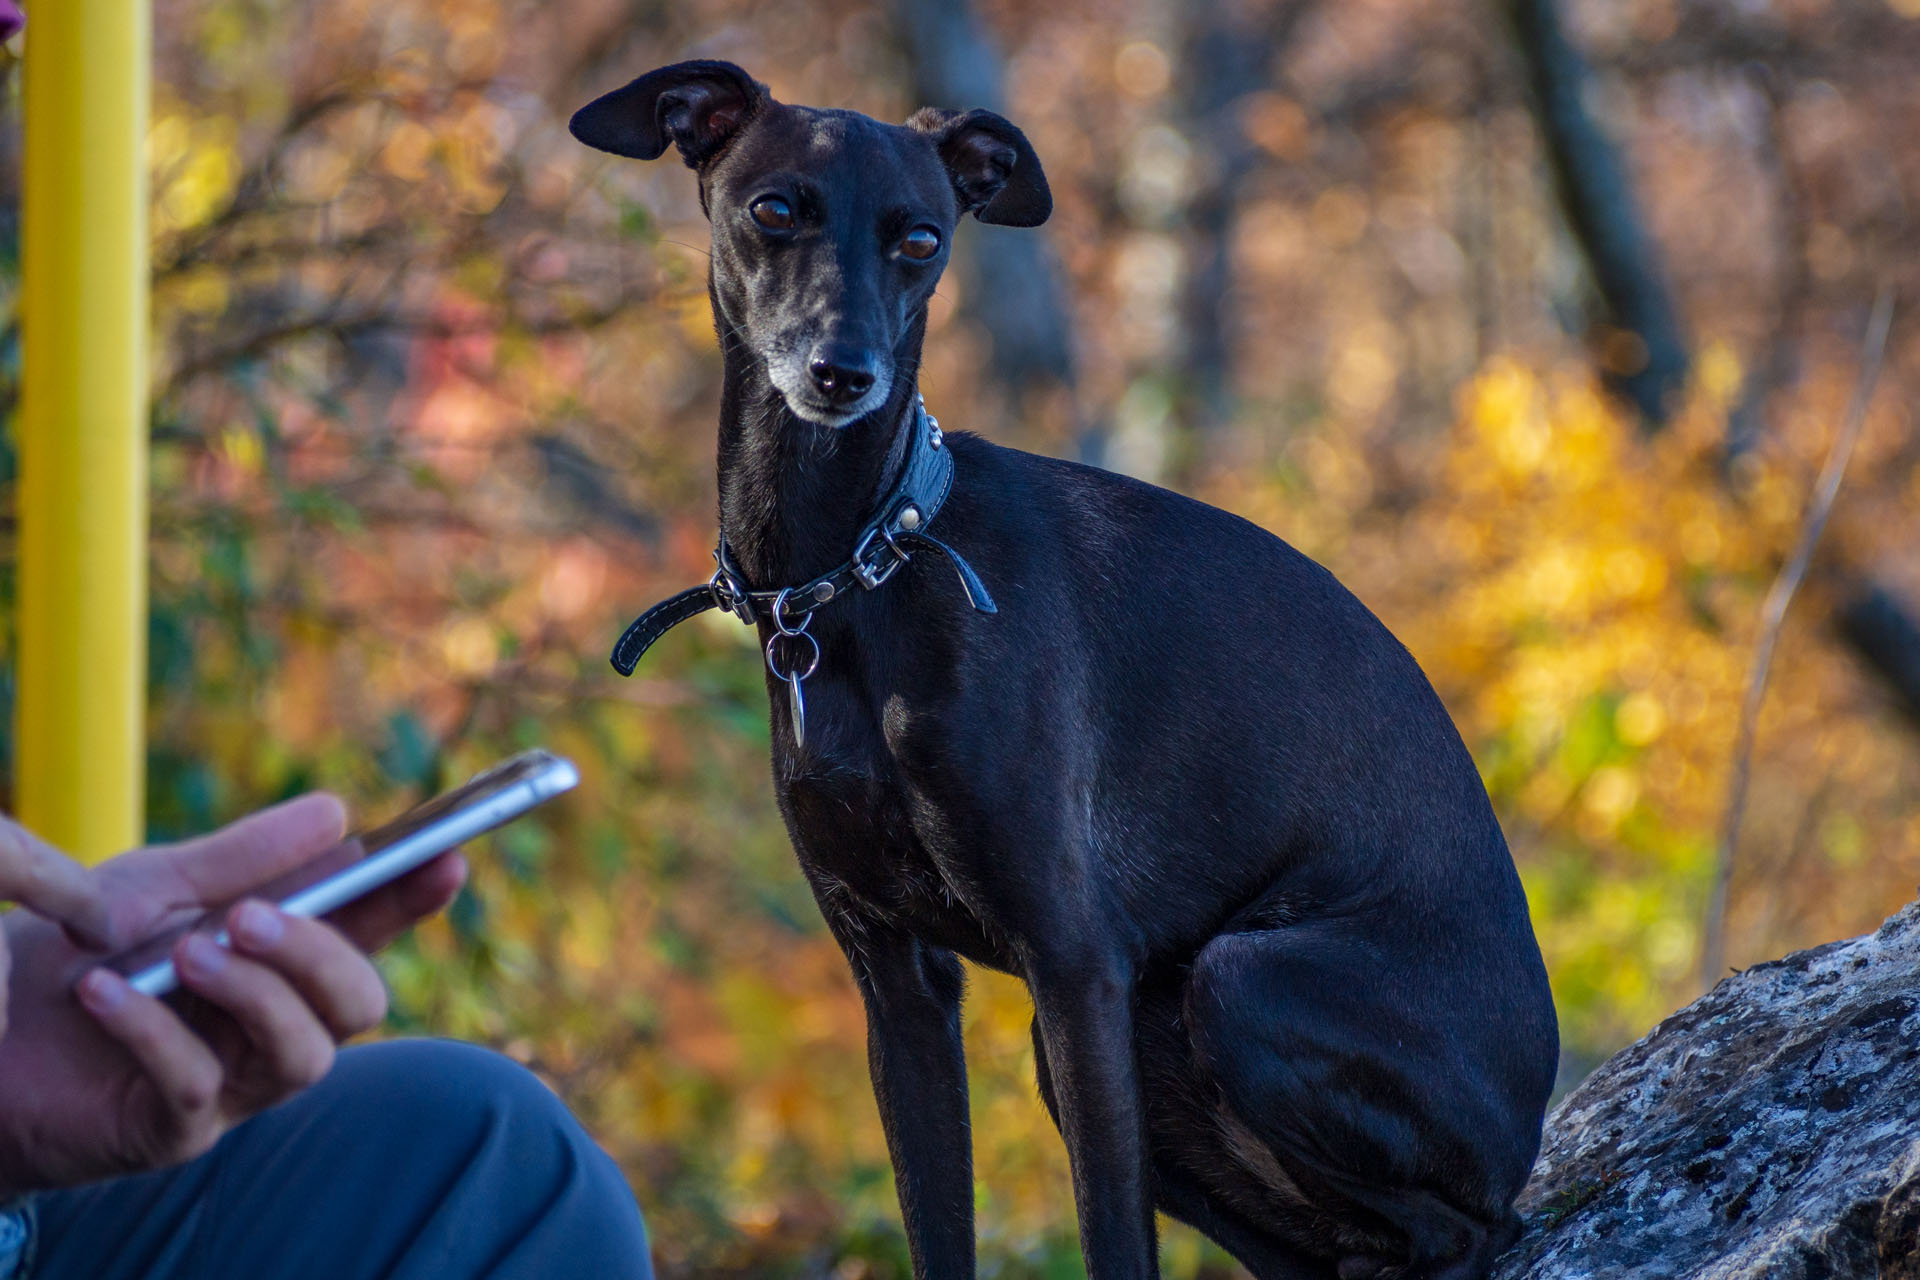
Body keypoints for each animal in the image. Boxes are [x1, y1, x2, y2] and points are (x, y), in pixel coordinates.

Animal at [572, 62, 1559, 1280]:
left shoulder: (1074, 965)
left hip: (1232, 986)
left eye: (921, 238)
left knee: (1463, 1227)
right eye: (775, 208)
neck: (855, 571)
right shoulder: (899, 985)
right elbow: (937, 1225)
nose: (844, 375)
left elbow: (1111, 1236)